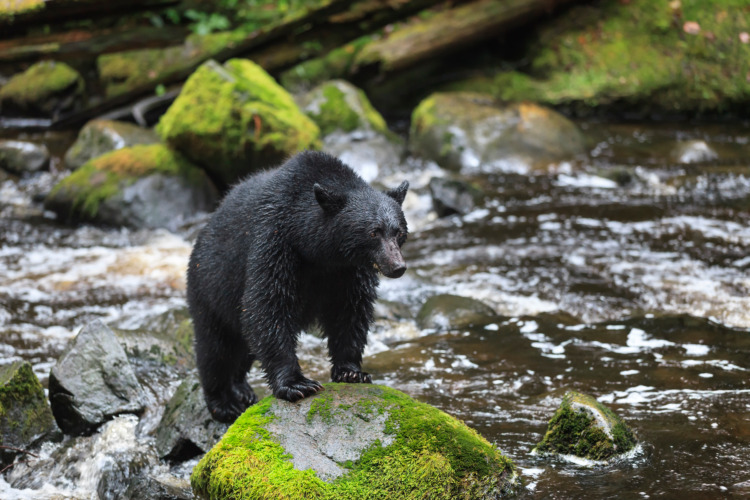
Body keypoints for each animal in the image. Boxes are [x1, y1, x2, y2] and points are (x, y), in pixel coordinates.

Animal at [188, 149, 412, 422]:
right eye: (374, 232)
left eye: (399, 232)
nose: (397, 267)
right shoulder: (275, 240)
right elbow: (267, 305)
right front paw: (297, 384)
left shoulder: (349, 270)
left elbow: (350, 311)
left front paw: (352, 371)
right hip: (209, 287)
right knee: (215, 348)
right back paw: (223, 402)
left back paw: (242, 389)